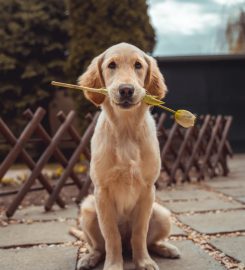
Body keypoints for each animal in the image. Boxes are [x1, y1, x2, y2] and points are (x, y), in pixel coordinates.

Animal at [76, 43, 180, 268]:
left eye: (138, 65)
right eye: (111, 65)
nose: (126, 90)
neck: (125, 129)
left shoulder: (148, 190)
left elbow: (139, 233)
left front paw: (144, 261)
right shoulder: (102, 192)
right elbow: (111, 236)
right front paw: (114, 265)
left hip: (162, 213)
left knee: (148, 241)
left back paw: (165, 248)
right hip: (88, 210)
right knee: (98, 246)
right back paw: (90, 258)